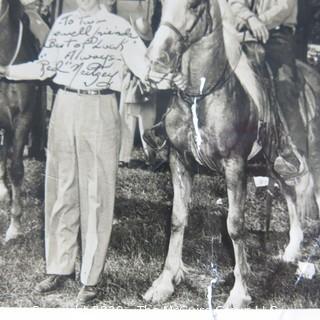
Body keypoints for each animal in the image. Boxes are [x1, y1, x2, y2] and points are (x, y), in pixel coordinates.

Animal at [144, 0, 320, 308]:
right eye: (161, 4)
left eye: (195, 6)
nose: (156, 59)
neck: (201, 95)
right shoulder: (179, 160)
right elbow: (177, 219)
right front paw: (164, 283)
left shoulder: (234, 166)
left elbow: (235, 226)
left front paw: (239, 292)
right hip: (275, 163)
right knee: (290, 193)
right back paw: (291, 251)